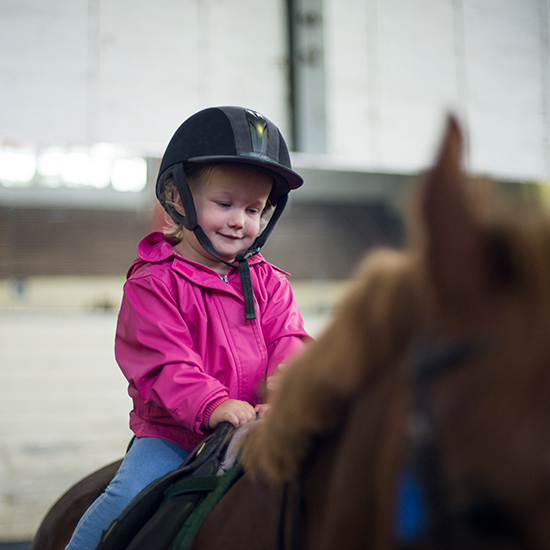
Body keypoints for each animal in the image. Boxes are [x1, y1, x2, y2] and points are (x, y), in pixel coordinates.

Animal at [31, 117, 550, 550]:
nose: (238, 225)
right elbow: (165, 358)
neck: (218, 271)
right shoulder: (149, 297)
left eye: (254, 207)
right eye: (224, 202)